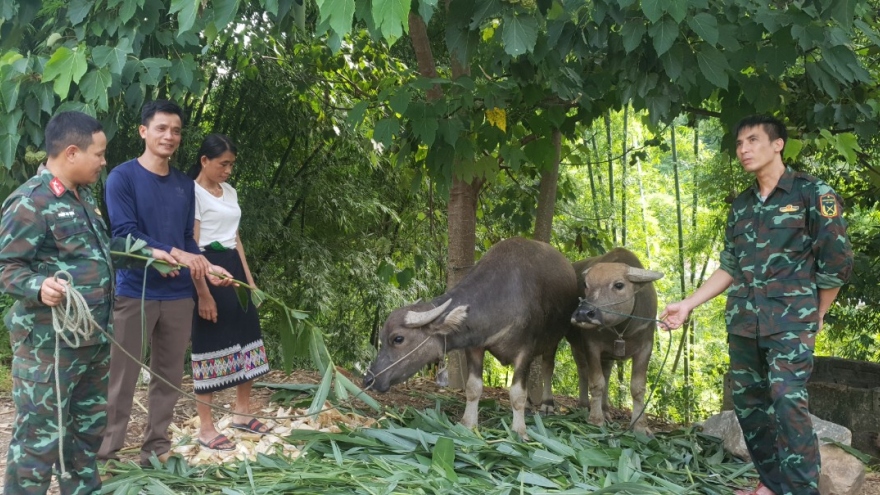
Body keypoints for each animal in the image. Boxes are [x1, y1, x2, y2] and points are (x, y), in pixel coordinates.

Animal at [362, 238, 576, 440]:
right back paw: (531, 405)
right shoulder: (475, 347)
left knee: (547, 367)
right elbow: (473, 388)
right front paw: (468, 424)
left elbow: (516, 393)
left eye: (398, 338)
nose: (369, 379)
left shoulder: (524, 351)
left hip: (553, 340)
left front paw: (519, 431)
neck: (501, 297)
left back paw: (547, 405)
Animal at [568, 248, 664, 434]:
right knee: (583, 371)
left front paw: (640, 425)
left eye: (619, 285)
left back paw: (606, 410)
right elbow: (596, 382)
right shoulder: (591, 345)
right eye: (586, 285)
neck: (621, 330)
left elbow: (638, 387)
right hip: (577, 347)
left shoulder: (646, 347)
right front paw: (595, 419)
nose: (583, 314)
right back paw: (584, 406)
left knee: (606, 374)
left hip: (608, 356)